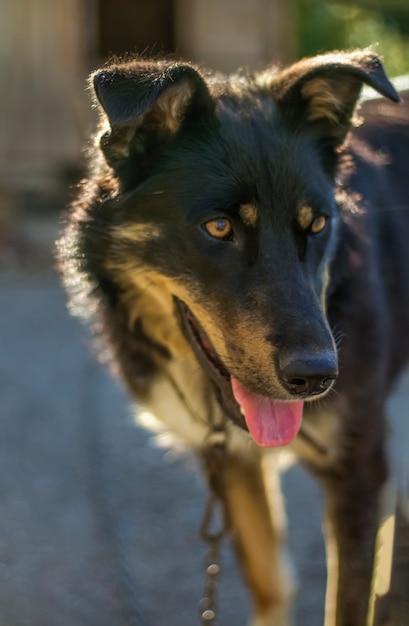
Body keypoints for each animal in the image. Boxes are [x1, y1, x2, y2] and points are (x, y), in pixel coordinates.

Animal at [59, 50, 408, 624]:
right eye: (219, 228)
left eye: (317, 225)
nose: (317, 377)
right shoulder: (232, 461)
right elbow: (269, 581)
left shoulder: (358, 465)